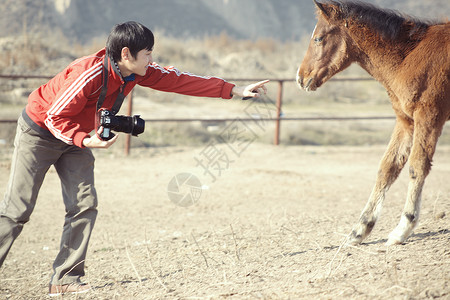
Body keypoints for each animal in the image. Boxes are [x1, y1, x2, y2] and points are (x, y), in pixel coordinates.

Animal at [298, 0, 448, 245]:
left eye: (318, 38)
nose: (300, 78)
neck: (409, 57)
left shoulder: (429, 116)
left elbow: (417, 166)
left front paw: (403, 228)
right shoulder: (406, 122)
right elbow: (387, 168)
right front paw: (359, 230)